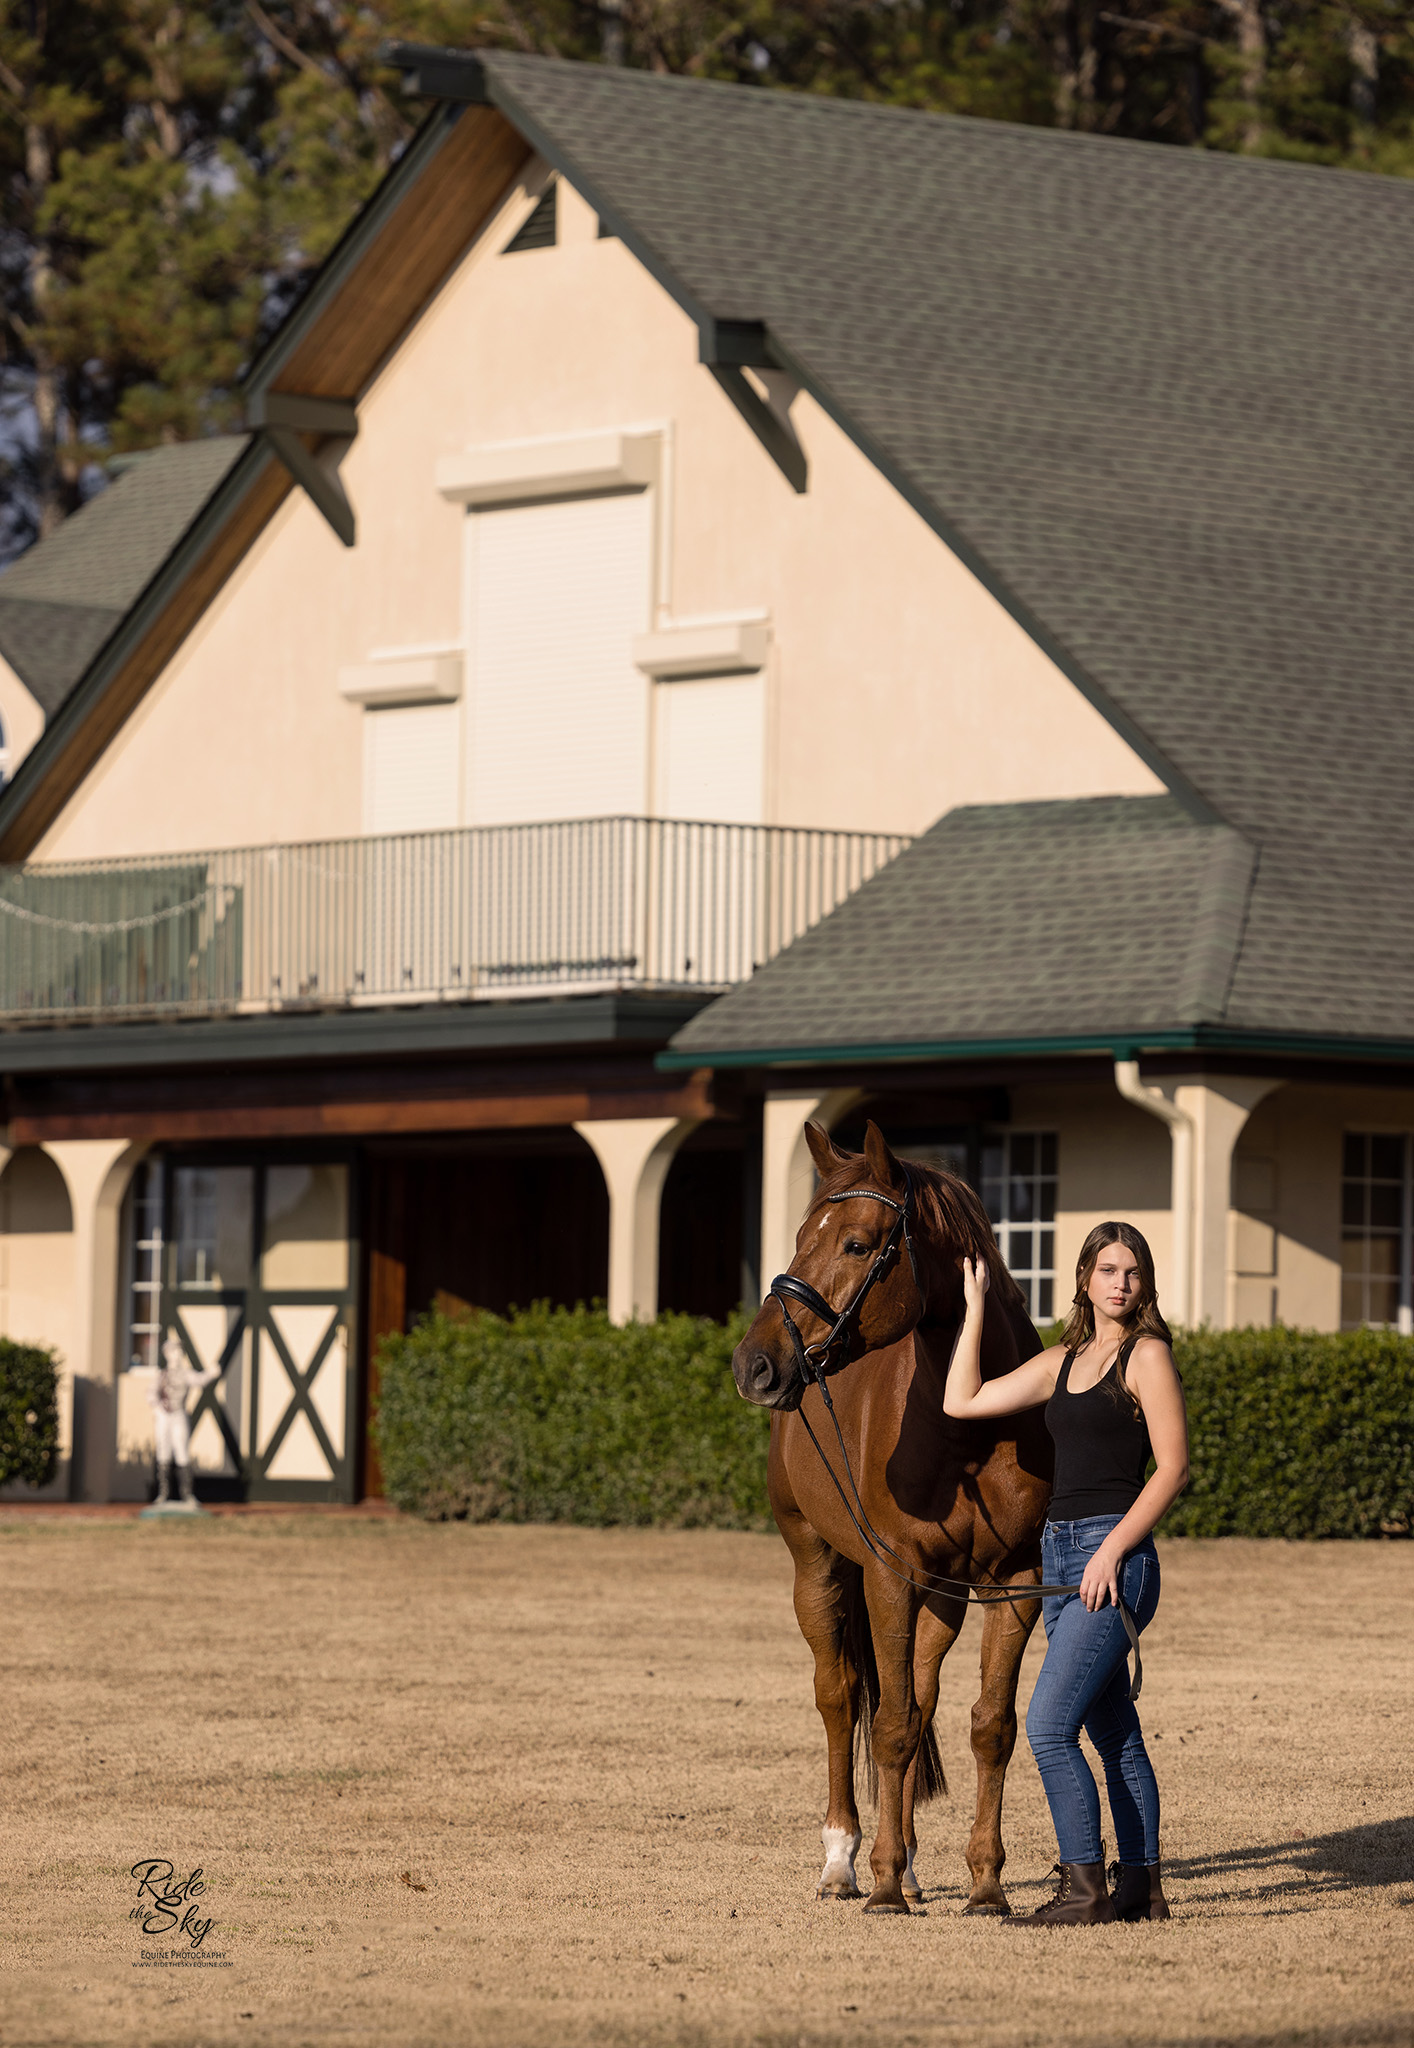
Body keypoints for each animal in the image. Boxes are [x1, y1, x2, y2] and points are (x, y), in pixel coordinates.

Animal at [725, 1122, 1045, 1900]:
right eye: (799, 1236)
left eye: (856, 1244)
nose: (754, 1364)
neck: (967, 1425)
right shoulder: (890, 1576)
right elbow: (891, 1724)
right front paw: (883, 1887)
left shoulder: (1016, 1582)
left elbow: (987, 1725)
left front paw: (985, 1883)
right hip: (817, 1564)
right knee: (841, 1697)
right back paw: (844, 1858)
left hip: (943, 1597)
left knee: (920, 1695)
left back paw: (909, 1862)